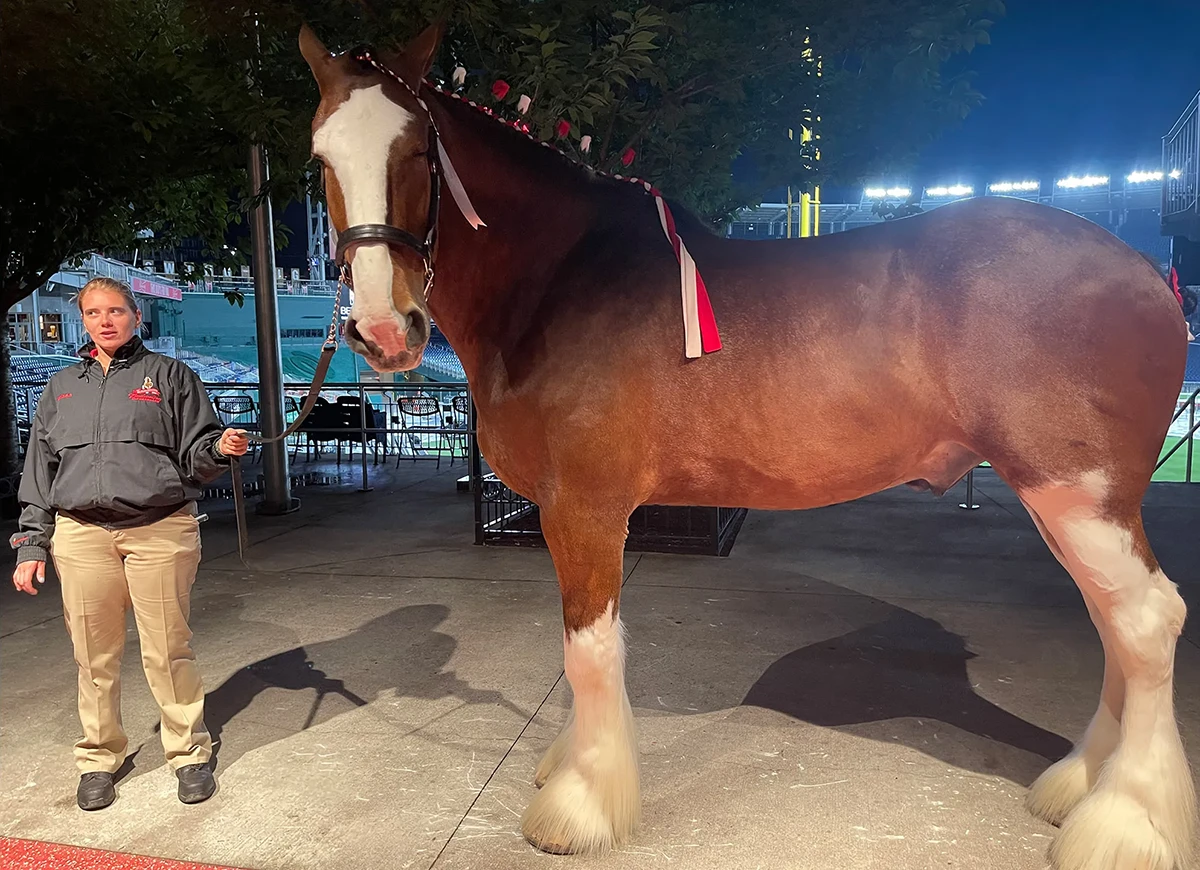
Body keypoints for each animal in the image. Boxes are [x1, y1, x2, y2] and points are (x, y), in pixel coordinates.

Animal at [297, 23, 1190, 864]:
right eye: (319, 159)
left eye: (418, 150)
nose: (384, 329)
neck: (560, 281)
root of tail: (1149, 271)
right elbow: (586, 648)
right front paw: (574, 768)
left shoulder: (584, 507)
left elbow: (589, 652)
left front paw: (581, 808)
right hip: (1069, 503)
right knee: (1113, 622)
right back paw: (1080, 784)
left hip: (1078, 495)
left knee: (1146, 622)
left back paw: (1122, 824)